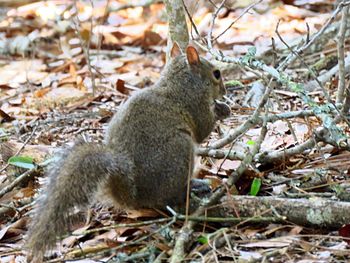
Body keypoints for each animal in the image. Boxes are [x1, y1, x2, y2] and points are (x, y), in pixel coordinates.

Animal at [26, 45, 230, 262]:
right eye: (216, 73)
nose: (225, 90)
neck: (179, 81)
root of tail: (133, 197)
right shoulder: (195, 104)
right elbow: (202, 129)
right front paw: (222, 109)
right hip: (181, 151)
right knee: (170, 197)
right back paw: (193, 187)